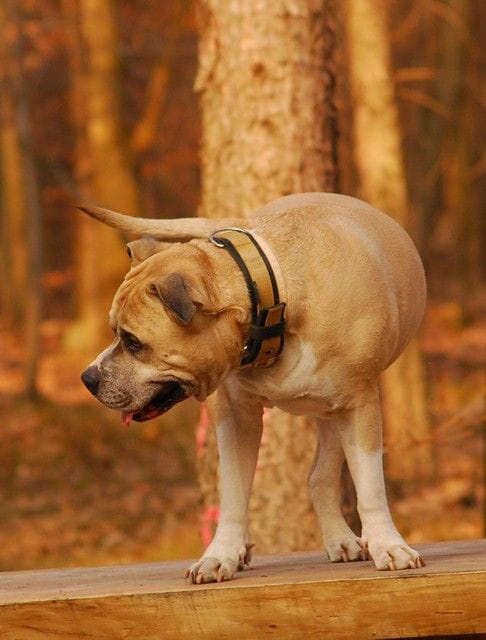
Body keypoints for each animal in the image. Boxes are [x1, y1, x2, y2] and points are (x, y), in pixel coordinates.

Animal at [79, 192, 426, 584]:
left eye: (133, 342)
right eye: (115, 332)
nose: (88, 378)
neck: (270, 297)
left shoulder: (359, 404)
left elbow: (371, 486)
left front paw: (388, 545)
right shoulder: (235, 416)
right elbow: (233, 493)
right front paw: (221, 554)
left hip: (333, 411)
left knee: (320, 476)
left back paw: (341, 538)